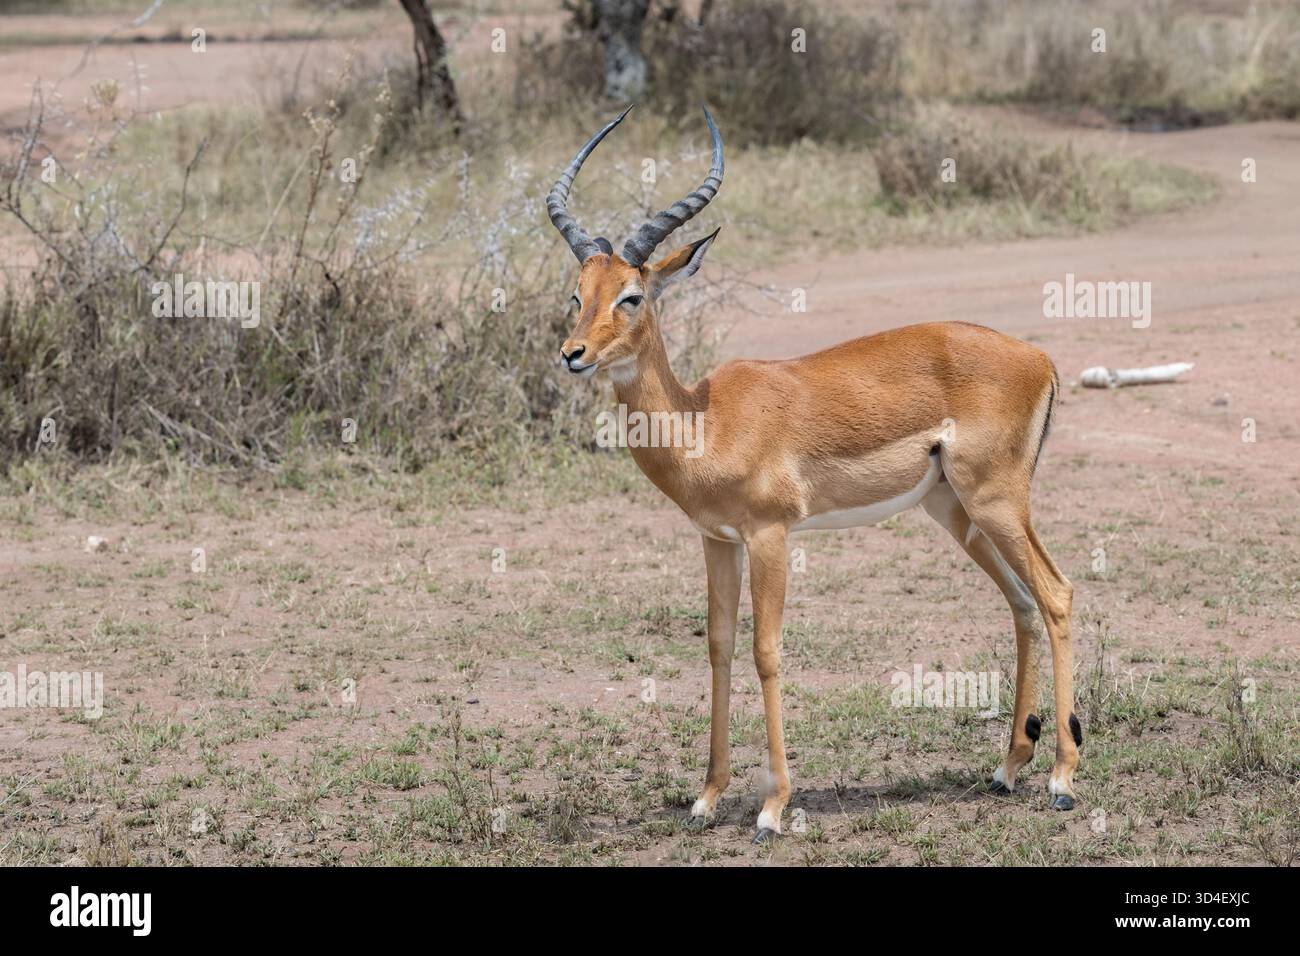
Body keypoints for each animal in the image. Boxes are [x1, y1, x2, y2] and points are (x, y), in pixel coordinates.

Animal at [547, 106, 1081, 843]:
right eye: (578, 293)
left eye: (631, 295)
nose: (572, 354)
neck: (704, 420)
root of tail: (1039, 357)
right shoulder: (716, 540)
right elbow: (718, 646)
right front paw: (706, 798)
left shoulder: (771, 535)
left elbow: (766, 651)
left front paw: (772, 808)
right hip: (957, 512)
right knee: (1023, 602)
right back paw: (1006, 770)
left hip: (997, 502)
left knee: (1056, 594)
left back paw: (1061, 780)